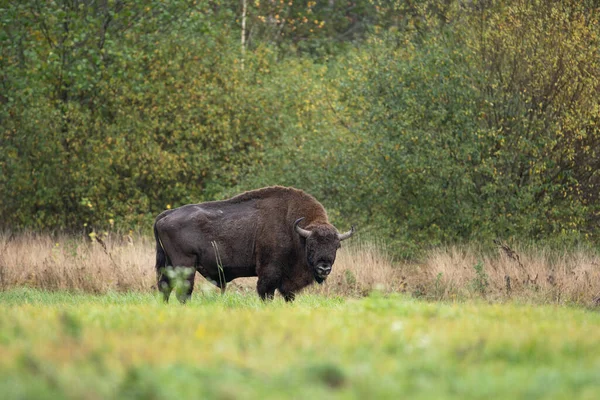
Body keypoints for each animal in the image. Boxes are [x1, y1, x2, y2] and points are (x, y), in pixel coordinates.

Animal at [152, 186, 354, 302]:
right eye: (311, 244)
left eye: (336, 246)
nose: (324, 268)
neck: (294, 230)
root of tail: (165, 215)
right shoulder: (269, 272)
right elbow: (266, 292)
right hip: (185, 265)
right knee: (182, 290)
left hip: (169, 265)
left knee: (165, 287)